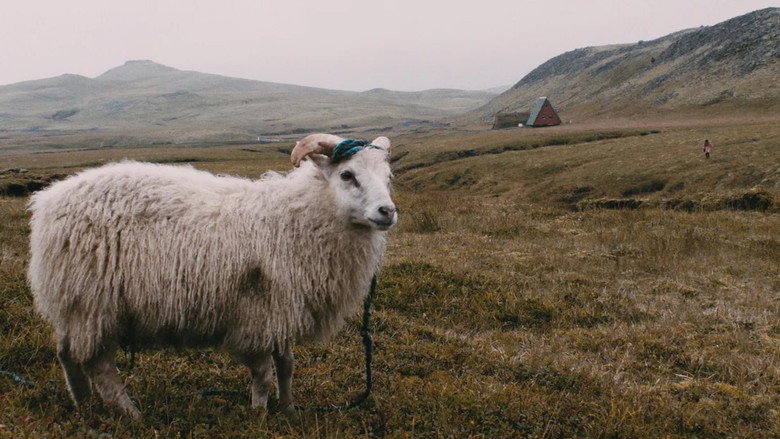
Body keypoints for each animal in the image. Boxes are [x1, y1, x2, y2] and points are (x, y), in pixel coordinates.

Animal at [27, 133, 397, 420]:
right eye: (347, 174)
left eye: (388, 177)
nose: (387, 212)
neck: (296, 217)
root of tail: (48, 202)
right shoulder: (257, 313)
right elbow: (263, 372)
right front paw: (259, 414)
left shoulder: (283, 308)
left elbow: (286, 366)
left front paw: (289, 410)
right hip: (95, 301)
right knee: (98, 365)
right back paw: (130, 412)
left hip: (75, 302)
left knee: (66, 354)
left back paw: (83, 406)